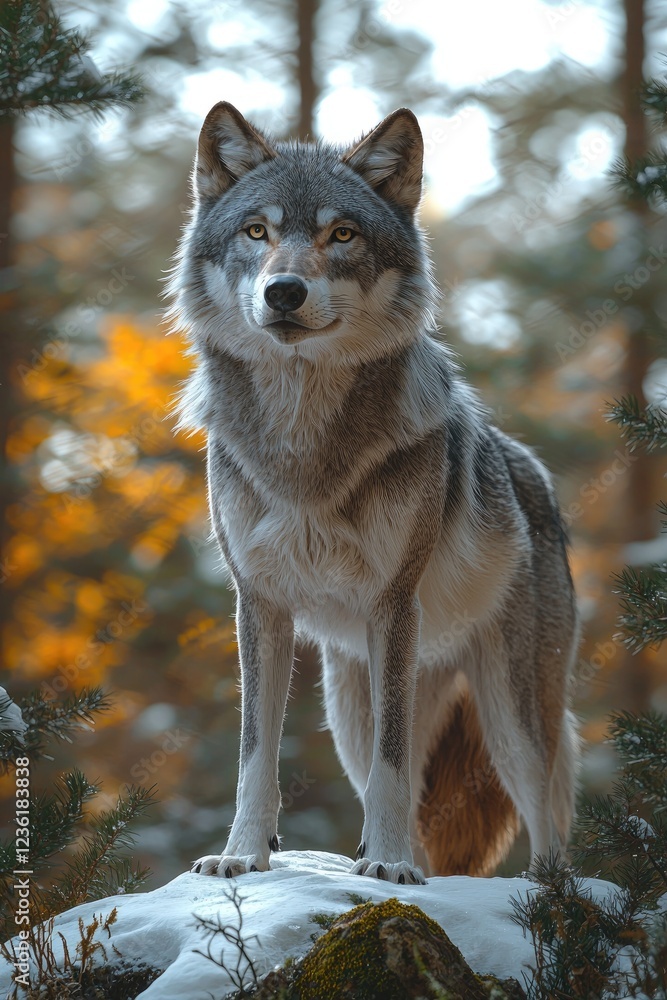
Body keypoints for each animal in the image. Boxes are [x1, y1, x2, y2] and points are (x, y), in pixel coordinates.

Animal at [168, 102, 579, 885]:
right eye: (257, 232)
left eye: (343, 234)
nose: (284, 291)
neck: (301, 446)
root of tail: (533, 475)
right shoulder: (257, 604)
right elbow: (255, 754)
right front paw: (242, 856)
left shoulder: (393, 605)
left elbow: (394, 769)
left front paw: (386, 868)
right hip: (348, 707)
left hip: (510, 712)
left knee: (546, 815)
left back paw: (544, 898)